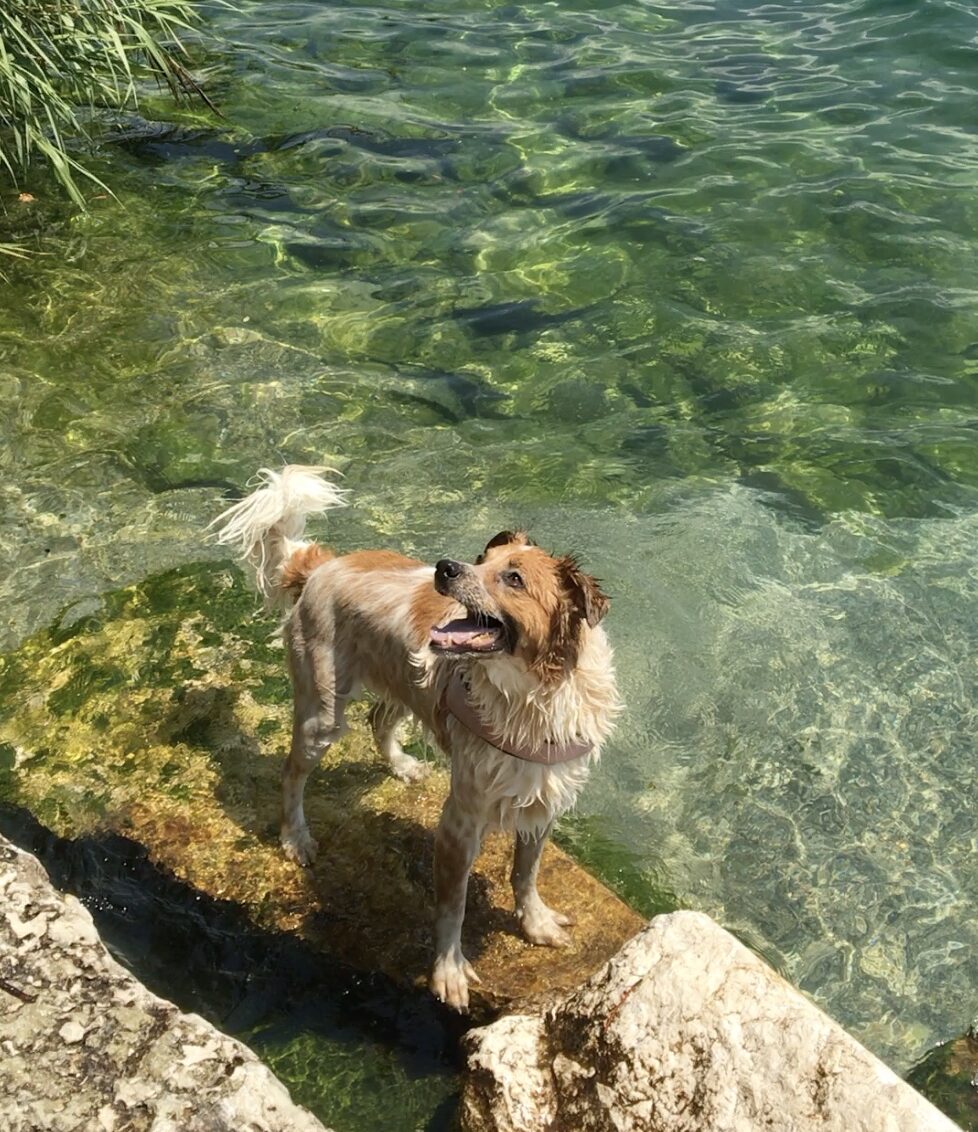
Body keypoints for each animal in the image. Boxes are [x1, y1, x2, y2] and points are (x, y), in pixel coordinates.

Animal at [212, 464, 620, 1014]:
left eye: (513, 577)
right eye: (480, 561)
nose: (445, 568)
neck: (534, 695)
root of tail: (322, 565)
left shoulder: (543, 796)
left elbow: (525, 873)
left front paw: (534, 923)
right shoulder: (461, 820)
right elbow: (453, 906)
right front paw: (448, 972)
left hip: (404, 682)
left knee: (380, 720)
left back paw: (401, 765)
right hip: (323, 712)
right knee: (292, 773)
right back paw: (295, 836)